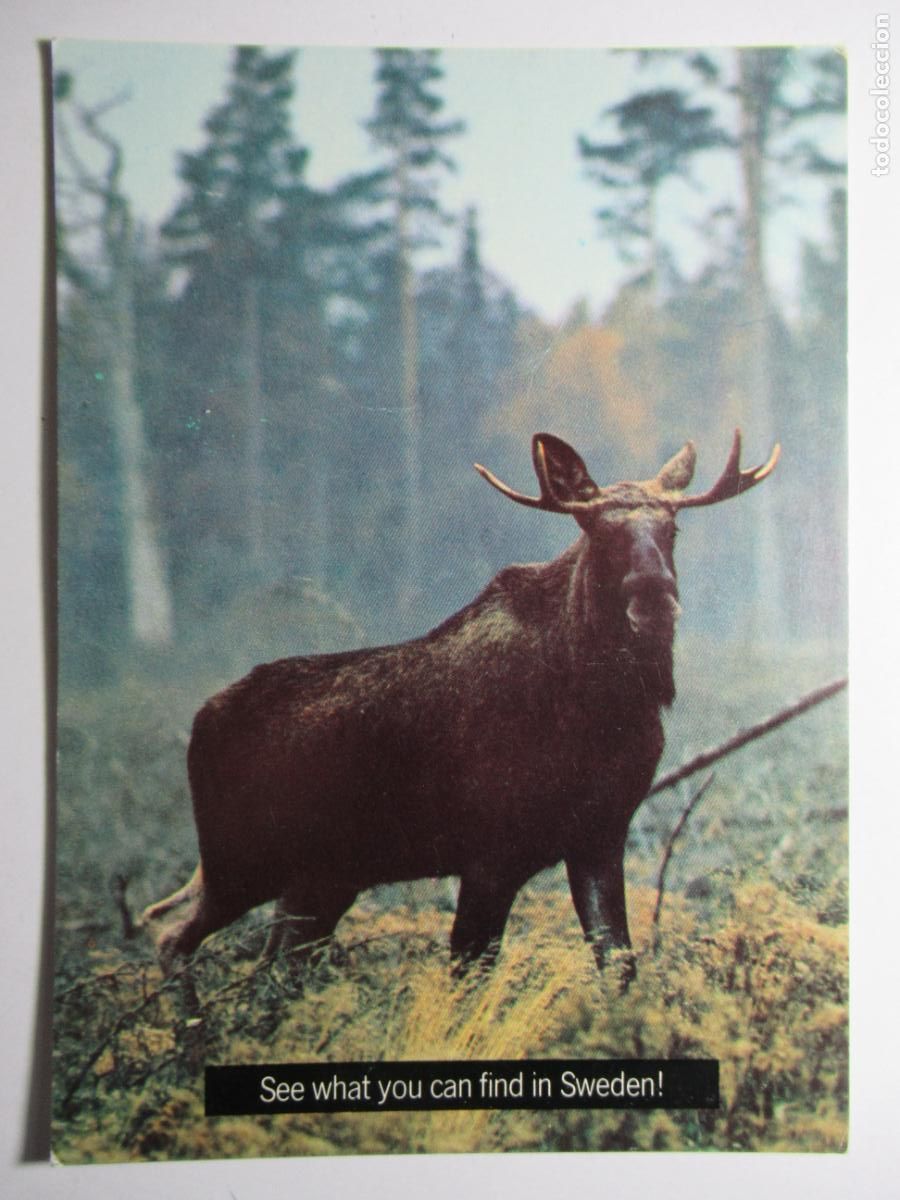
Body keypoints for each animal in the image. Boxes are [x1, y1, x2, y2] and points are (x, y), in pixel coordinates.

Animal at [142, 429, 778, 981]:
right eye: (598, 533)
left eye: (672, 531)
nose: (654, 599)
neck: (602, 715)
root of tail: (201, 720)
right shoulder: (491, 855)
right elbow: (468, 978)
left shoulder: (600, 836)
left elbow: (618, 963)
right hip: (238, 861)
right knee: (170, 934)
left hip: (319, 879)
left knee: (269, 964)